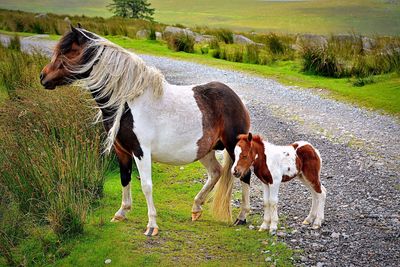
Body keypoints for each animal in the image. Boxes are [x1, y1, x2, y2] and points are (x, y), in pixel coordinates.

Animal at [37, 25, 250, 238]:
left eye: (67, 51)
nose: (42, 76)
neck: (128, 102)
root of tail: (236, 98)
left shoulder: (141, 152)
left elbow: (146, 186)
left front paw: (152, 225)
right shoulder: (122, 151)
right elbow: (125, 179)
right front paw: (121, 213)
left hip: (233, 148)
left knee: (244, 176)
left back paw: (242, 217)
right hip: (205, 150)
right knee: (216, 172)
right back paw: (196, 208)